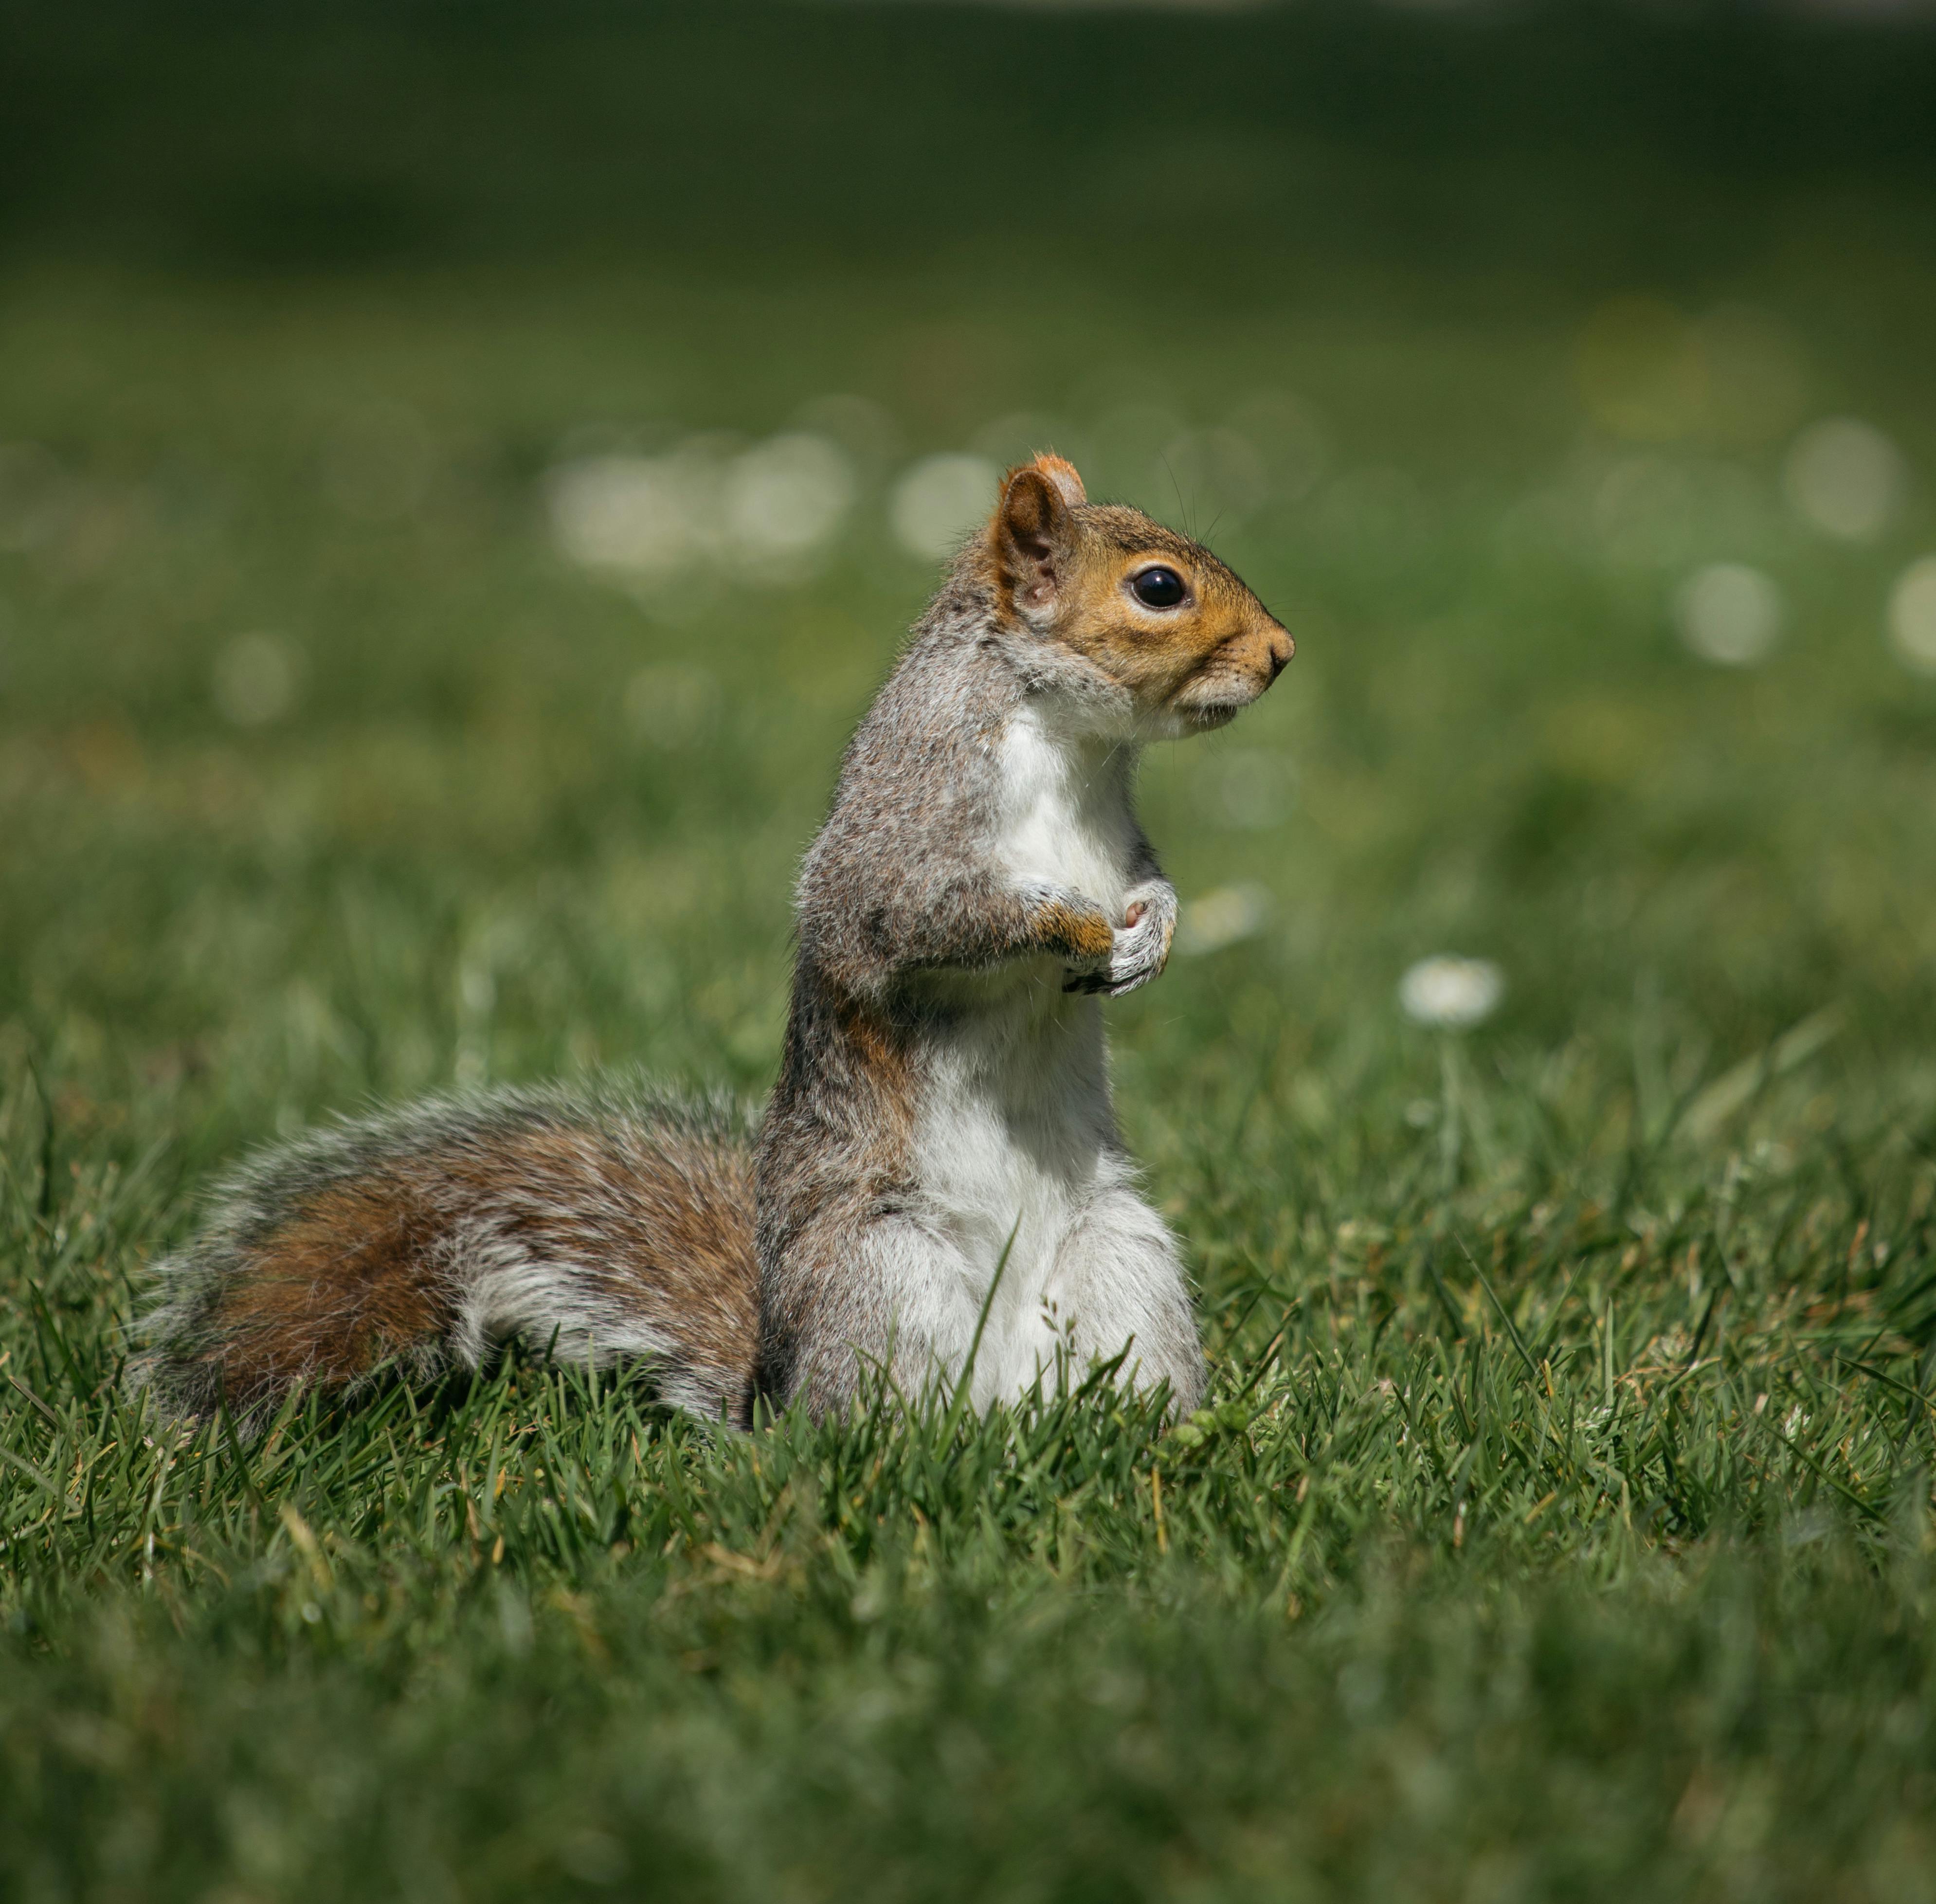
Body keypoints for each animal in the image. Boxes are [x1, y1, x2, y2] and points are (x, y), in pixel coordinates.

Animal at [132, 453, 1285, 1425]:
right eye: (1157, 588)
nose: (1280, 655)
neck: (1067, 741)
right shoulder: (898, 837)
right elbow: (913, 917)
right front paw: (1072, 921)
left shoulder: (1119, 836)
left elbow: (1153, 883)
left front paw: (1154, 935)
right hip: (885, 1277)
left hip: (1121, 1256)